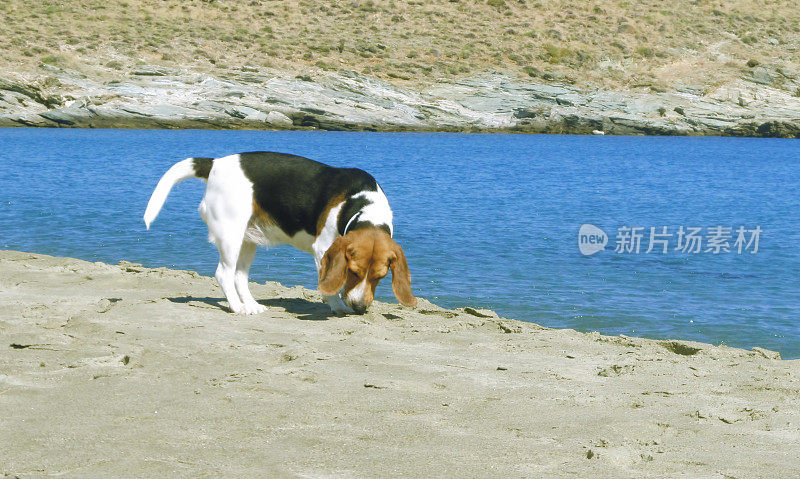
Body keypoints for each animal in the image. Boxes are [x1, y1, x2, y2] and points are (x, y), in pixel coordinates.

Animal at [145, 150, 418, 316]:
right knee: (224, 274)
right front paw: (338, 306)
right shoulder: (322, 248)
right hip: (230, 235)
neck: (361, 203)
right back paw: (237, 307)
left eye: (380, 277)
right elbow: (329, 287)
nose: (360, 307)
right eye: (352, 272)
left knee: (239, 276)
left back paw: (251, 305)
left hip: (247, 240)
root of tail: (215, 163)